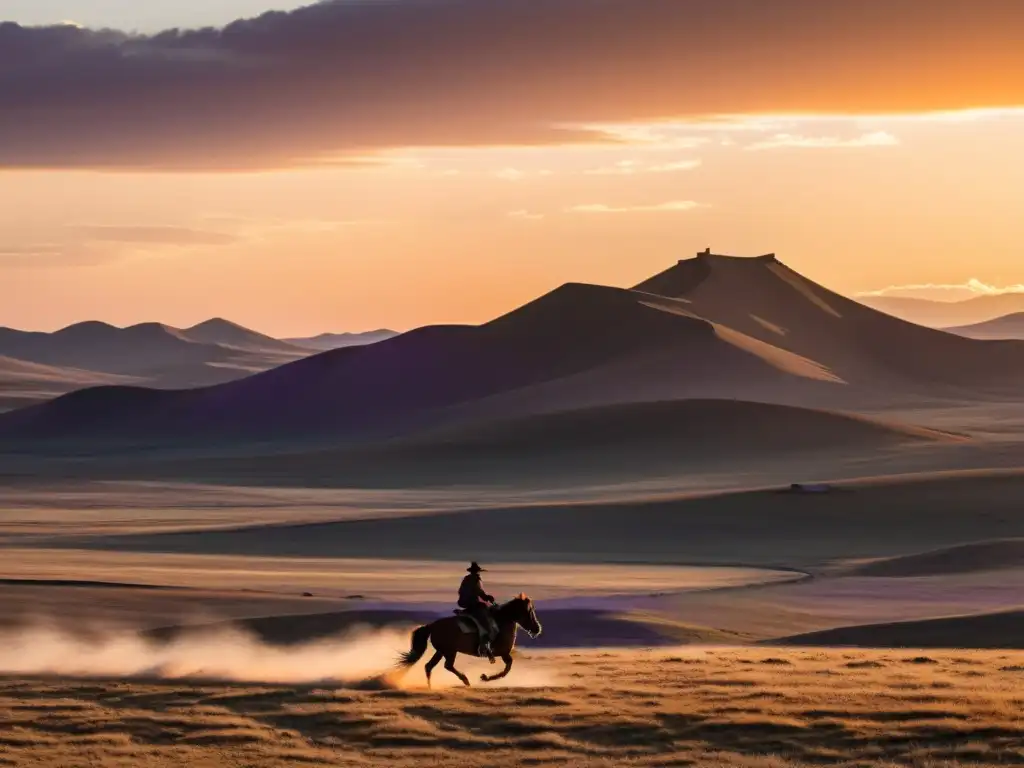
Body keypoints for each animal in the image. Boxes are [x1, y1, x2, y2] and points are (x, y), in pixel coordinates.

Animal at [393, 593, 544, 688]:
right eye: (529, 611)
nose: (537, 629)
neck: (502, 621)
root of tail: (432, 625)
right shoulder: (503, 653)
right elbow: (507, 669)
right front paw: (484, 677)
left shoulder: (504, 654)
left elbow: (507, 669)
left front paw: (485, 677)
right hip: (450, 651)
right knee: (447, 666)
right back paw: (465, 680)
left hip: (441, 651)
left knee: (429, 666)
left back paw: (430, 687)